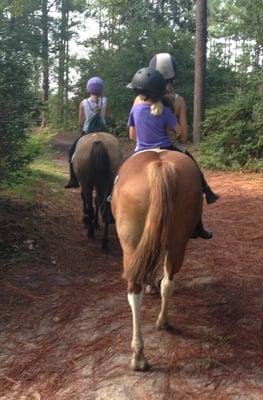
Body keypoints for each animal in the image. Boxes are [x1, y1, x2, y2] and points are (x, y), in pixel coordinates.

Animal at [111, 151, 204, 372]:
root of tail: (160, 165)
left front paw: (150, 284)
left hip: (133, 245)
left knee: (135, 291)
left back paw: (139, 355)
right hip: (178, 239)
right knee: (168, 282)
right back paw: (161, 324)